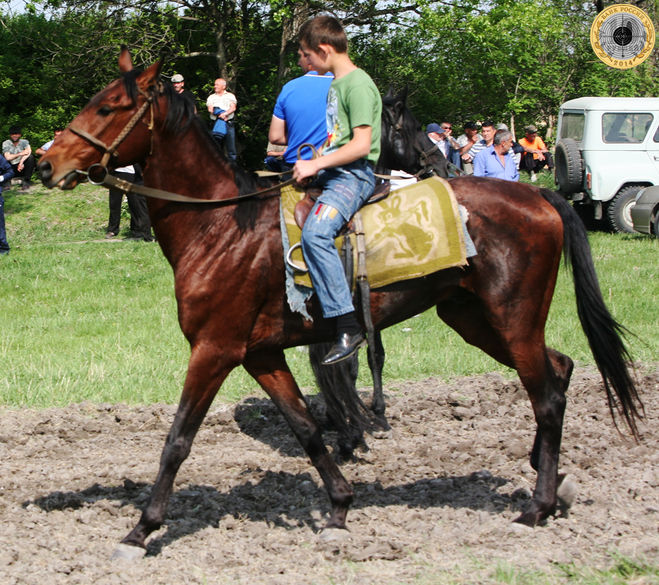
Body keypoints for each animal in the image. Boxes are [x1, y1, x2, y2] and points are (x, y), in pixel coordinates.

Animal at [37, 50, 644, 556]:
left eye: (108, 107)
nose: (43, 165)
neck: (222, 225)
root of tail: (539, 193)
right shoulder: (261, 354)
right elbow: (305, 428)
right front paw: (339, 507)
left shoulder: (213, 349)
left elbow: (178, 440)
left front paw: (141, 529)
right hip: (476, 319)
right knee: (560, 369)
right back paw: (551, 479)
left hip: (511, 320)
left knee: (547, 395)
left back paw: (537, 505)